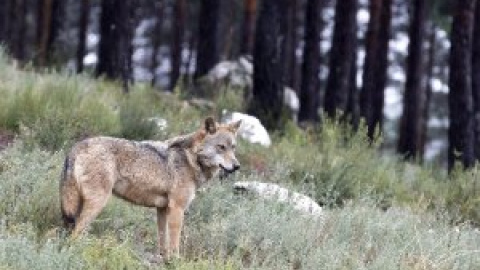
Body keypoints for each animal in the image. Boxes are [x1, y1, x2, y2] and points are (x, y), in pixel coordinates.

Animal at [61, 117, 240, 258]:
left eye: (233, 147)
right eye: (221, 147)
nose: (237, 166)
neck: (191, 158)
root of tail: (77, 146)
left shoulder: (162, 209)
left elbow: (163, 241)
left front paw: (164, 259)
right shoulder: (177, 208)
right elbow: (174, 243)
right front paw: (176, 262)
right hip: (97, 204)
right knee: (76, 233)